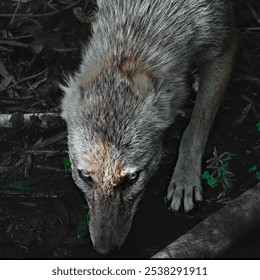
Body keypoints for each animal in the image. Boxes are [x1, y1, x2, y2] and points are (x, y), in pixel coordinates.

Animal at [60, 0, 236, 254]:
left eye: (132, 178)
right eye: (85, 176)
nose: (104, 250)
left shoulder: (224, 46)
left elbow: (195, 128)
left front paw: (185, 178)